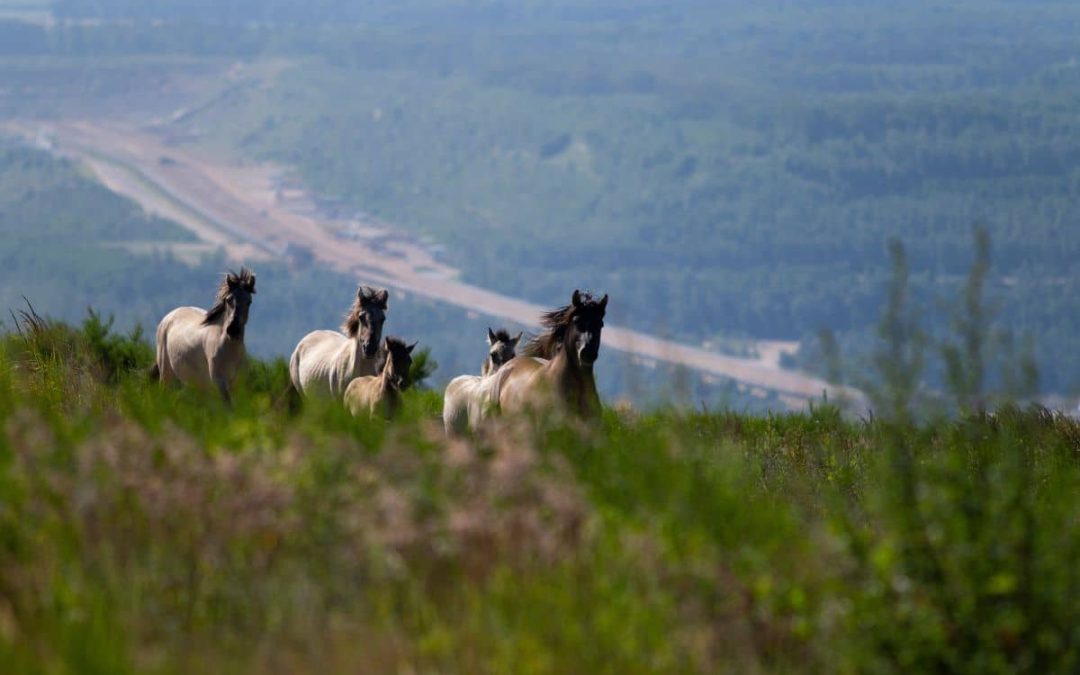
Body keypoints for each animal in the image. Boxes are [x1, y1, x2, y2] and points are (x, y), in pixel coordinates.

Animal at [151, 268, 256, 405]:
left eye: (249, 302)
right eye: (229, 300)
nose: (233, 329)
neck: (230, 351)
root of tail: (169, 316)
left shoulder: (238, 386)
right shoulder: (220, 383)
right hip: (166, 374)